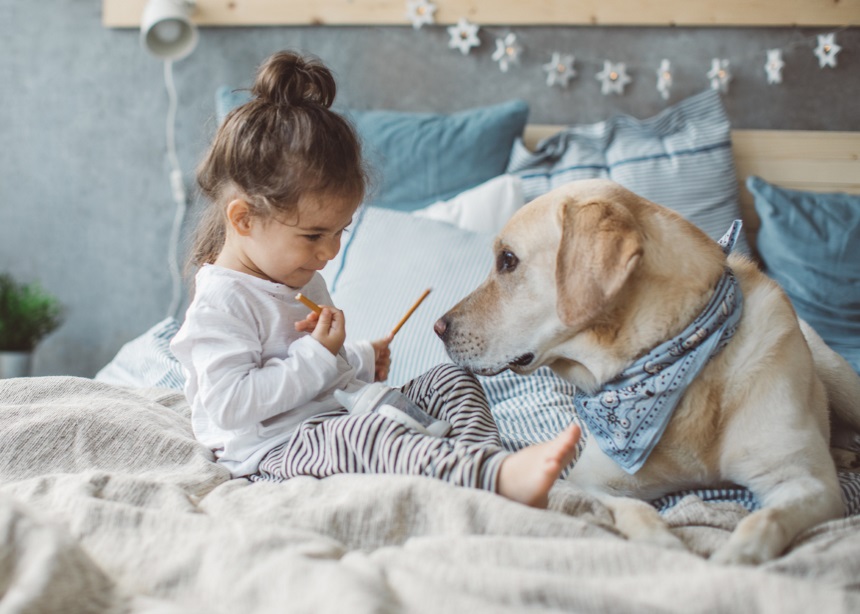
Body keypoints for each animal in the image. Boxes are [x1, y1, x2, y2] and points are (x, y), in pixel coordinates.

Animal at [436, 179, 860, 568]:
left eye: (507, 260)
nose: (438, 327)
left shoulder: (807, 481)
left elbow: (764, 520)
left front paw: (734, 560)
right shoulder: (589, 482)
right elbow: (636, 511)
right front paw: (665, 547)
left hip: (839, 377)